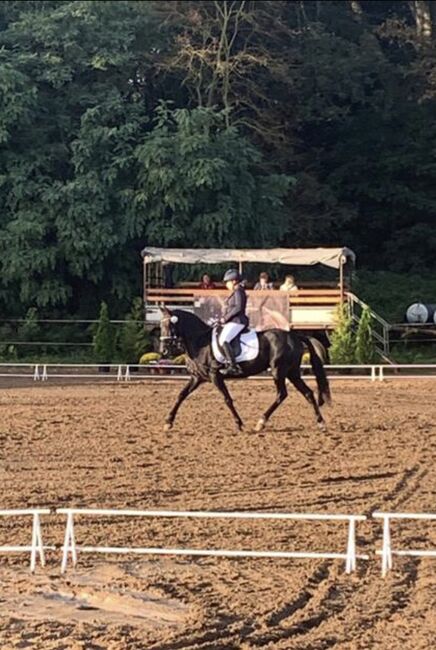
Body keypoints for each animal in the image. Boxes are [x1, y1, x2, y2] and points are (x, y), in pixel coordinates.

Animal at [160, 308, 330, 430]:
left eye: (169, 325)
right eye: (161, 326)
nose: (164, 351)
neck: (200, 341)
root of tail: (294, 336)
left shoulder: (215, 376)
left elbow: (227, 399)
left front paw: (239, 424)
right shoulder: (198, 377)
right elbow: (181, 395)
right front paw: (168, 421)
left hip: (279, 371)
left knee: (282, 394)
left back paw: (261, 422)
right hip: (292, 373)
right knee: (308, 393)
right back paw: (320, 422)